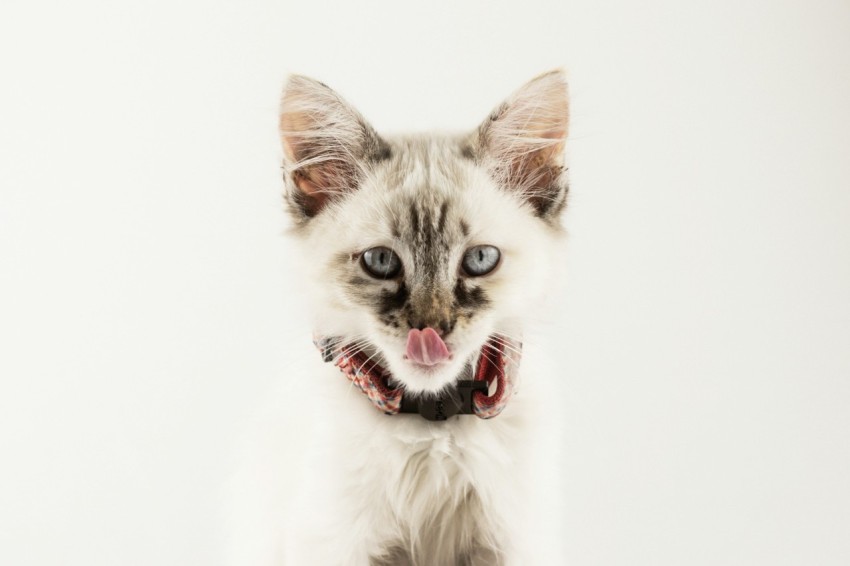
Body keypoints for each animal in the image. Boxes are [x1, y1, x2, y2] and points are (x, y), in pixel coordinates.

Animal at [229, 71, 568, 566]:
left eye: (480, 260)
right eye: (381, 262)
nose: (430, 333)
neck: (433, 422)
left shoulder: (513, 541)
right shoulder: (331, 539)